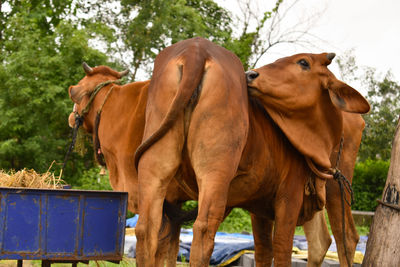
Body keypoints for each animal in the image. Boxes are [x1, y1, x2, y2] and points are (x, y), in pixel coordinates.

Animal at [135, 38, 368, 267]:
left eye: (303, 62)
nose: (250, 74)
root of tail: (197, 49)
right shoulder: (289, 196)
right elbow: (280, 250)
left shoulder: (261, 204)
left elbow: (264, 252)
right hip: (218, 171)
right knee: (203, 230)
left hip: (157, 165)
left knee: (147, 229)